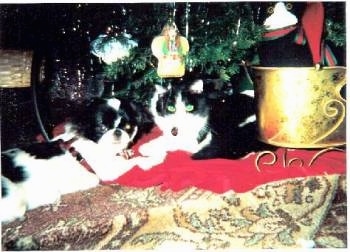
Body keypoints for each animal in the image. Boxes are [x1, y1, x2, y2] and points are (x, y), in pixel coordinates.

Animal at [0, 97, 153, 222]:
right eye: (102, 127)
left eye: (127, 127)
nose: (117, 131)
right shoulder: (107, 170)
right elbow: (134, 161)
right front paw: (148, 161)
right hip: (16, 201)